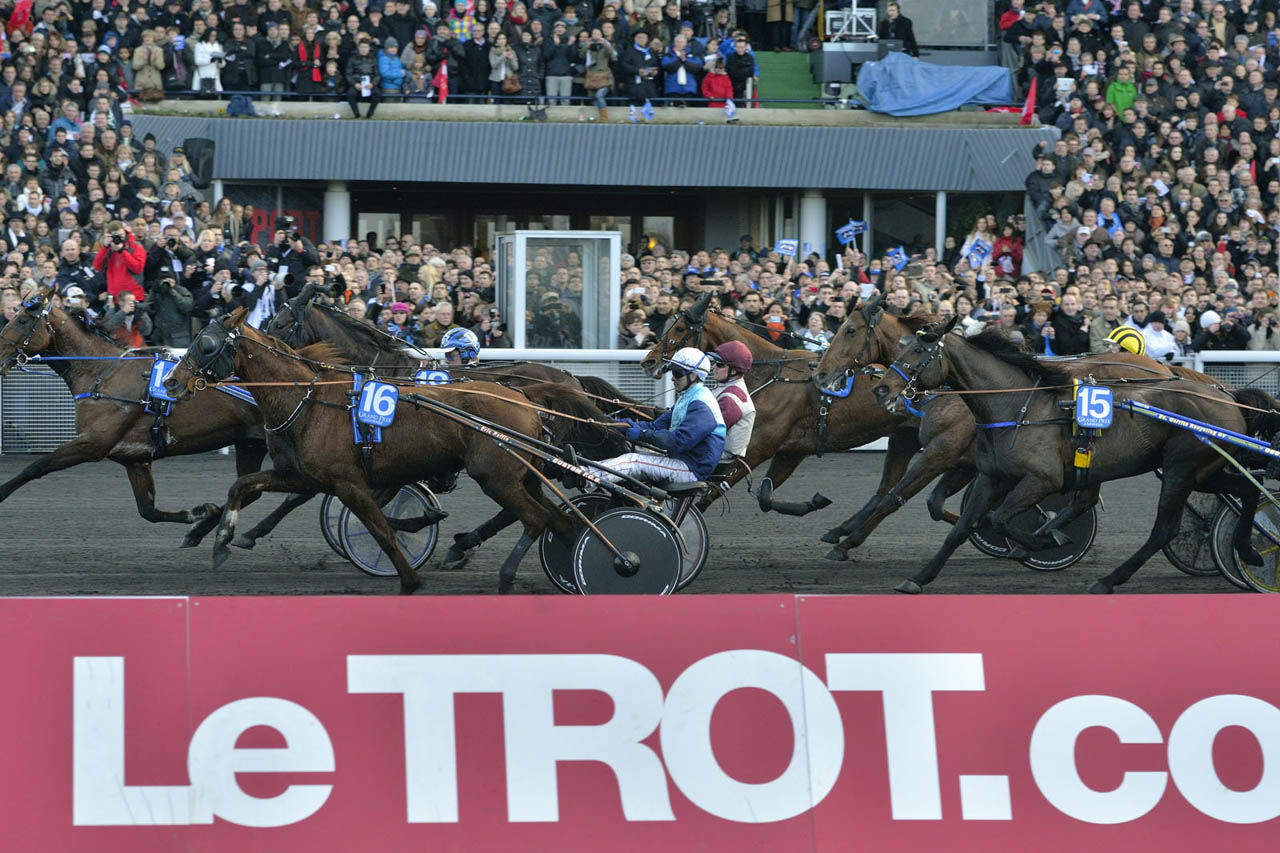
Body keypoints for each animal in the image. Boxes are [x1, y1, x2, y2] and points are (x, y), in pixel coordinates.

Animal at [0, 289, 267, 545]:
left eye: (22, 320)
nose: (0, 352)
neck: (101, 374)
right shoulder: (134, 458)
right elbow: (148, 511)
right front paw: (201, 513)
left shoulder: (93, 443)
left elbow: (36, 466)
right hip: (250, 443)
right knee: (252, 490)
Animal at [166, 308, 581, 594]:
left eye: (205, 344)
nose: (171, 381)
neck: (309, 400)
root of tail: (527, 399)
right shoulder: (300, 474)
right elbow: (244, 486)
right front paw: (222, 540)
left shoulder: (347, 482)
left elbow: (380, 528)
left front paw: (408, 573)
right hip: (523, 476)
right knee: (558, 520)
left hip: (496, 477)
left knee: (536, 519)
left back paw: (505, 575)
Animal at [870, 322, 1269, 594]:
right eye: (903, 347)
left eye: (917, 352)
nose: (882, 388)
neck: (1018, 406)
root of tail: (1229, 398)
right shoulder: (991, 477)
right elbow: (960, 528)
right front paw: (918, 578)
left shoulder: (1041, 479)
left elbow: (1000, 518)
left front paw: (1044, 541)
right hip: (1204, 470)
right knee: (1249, 491)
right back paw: (1248, 550)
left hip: (1180, 468)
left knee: (1165, 529)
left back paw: (1108, 579)